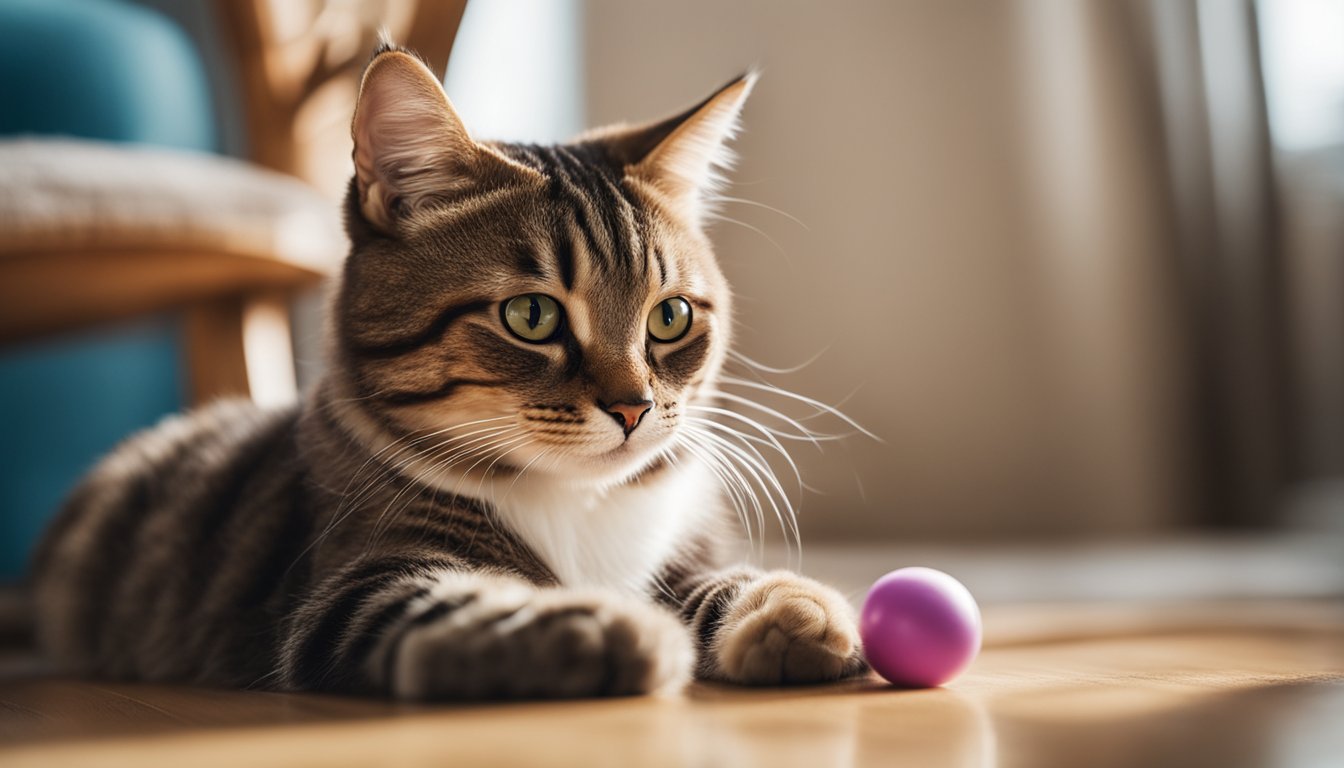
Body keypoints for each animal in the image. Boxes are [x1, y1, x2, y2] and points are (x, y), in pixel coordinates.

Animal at [34, 45, 870, 699]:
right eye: (532, 316)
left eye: (670, 317)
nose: (634, 408)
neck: (573, 503)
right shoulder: (349, 589)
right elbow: (470, 603)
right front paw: (605, 624)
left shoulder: (680, 549)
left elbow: (713, 579)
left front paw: (788, 606)